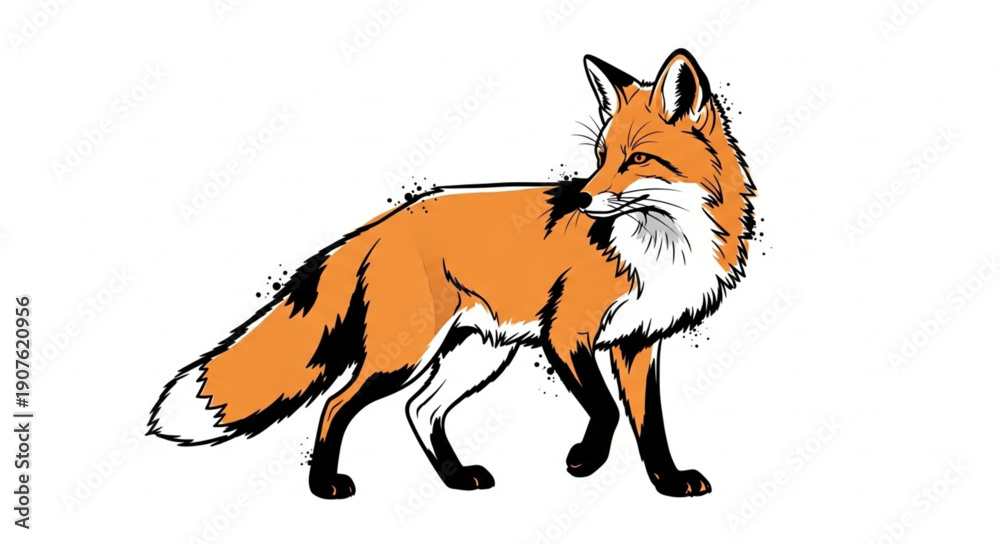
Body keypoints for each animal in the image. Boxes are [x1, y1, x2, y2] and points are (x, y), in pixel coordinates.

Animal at [148, 48, 755, 500]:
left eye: (637, 160)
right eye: (602, 157)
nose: (581, 199)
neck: (662, 242)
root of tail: (384, 222)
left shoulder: (637, 343)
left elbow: (651, 427)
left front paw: (668, 483)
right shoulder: (567, 334)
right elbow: (606, 411)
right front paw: (585, 460)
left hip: (477, 353)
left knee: (421, 410)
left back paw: (456, 478)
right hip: (403, 354)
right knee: (337, 404)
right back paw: (325, 485)